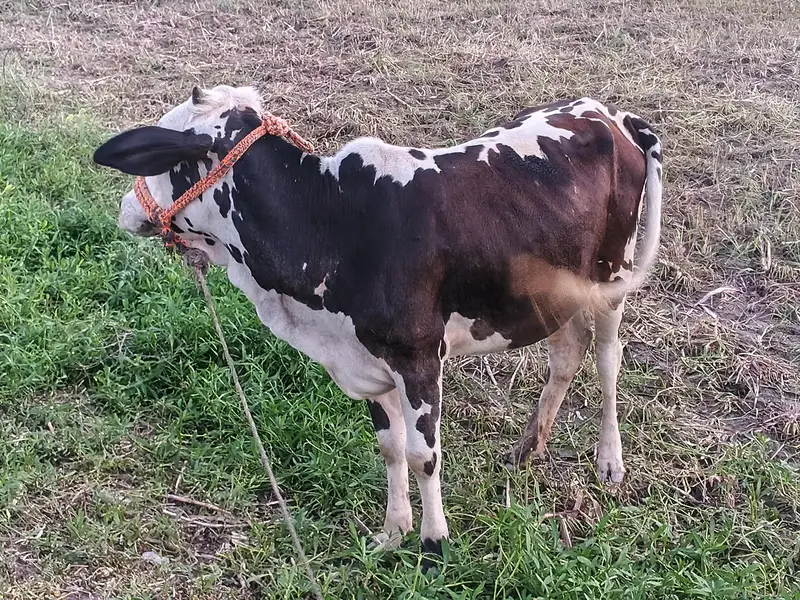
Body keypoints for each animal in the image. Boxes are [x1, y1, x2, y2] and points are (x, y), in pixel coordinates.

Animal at [94, 84, 663, 560]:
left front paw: (434, 546)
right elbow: (391, 449)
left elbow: (423, 454)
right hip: (552, 291)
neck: (331, 224)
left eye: (163, 158)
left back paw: (609, 460)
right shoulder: (368, 362)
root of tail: (613, 115)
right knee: (568, 350)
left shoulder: (418, 359)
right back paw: (528, 447)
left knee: (607, 359)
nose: (124, 208)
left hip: (614, 273)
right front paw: (393, 532)